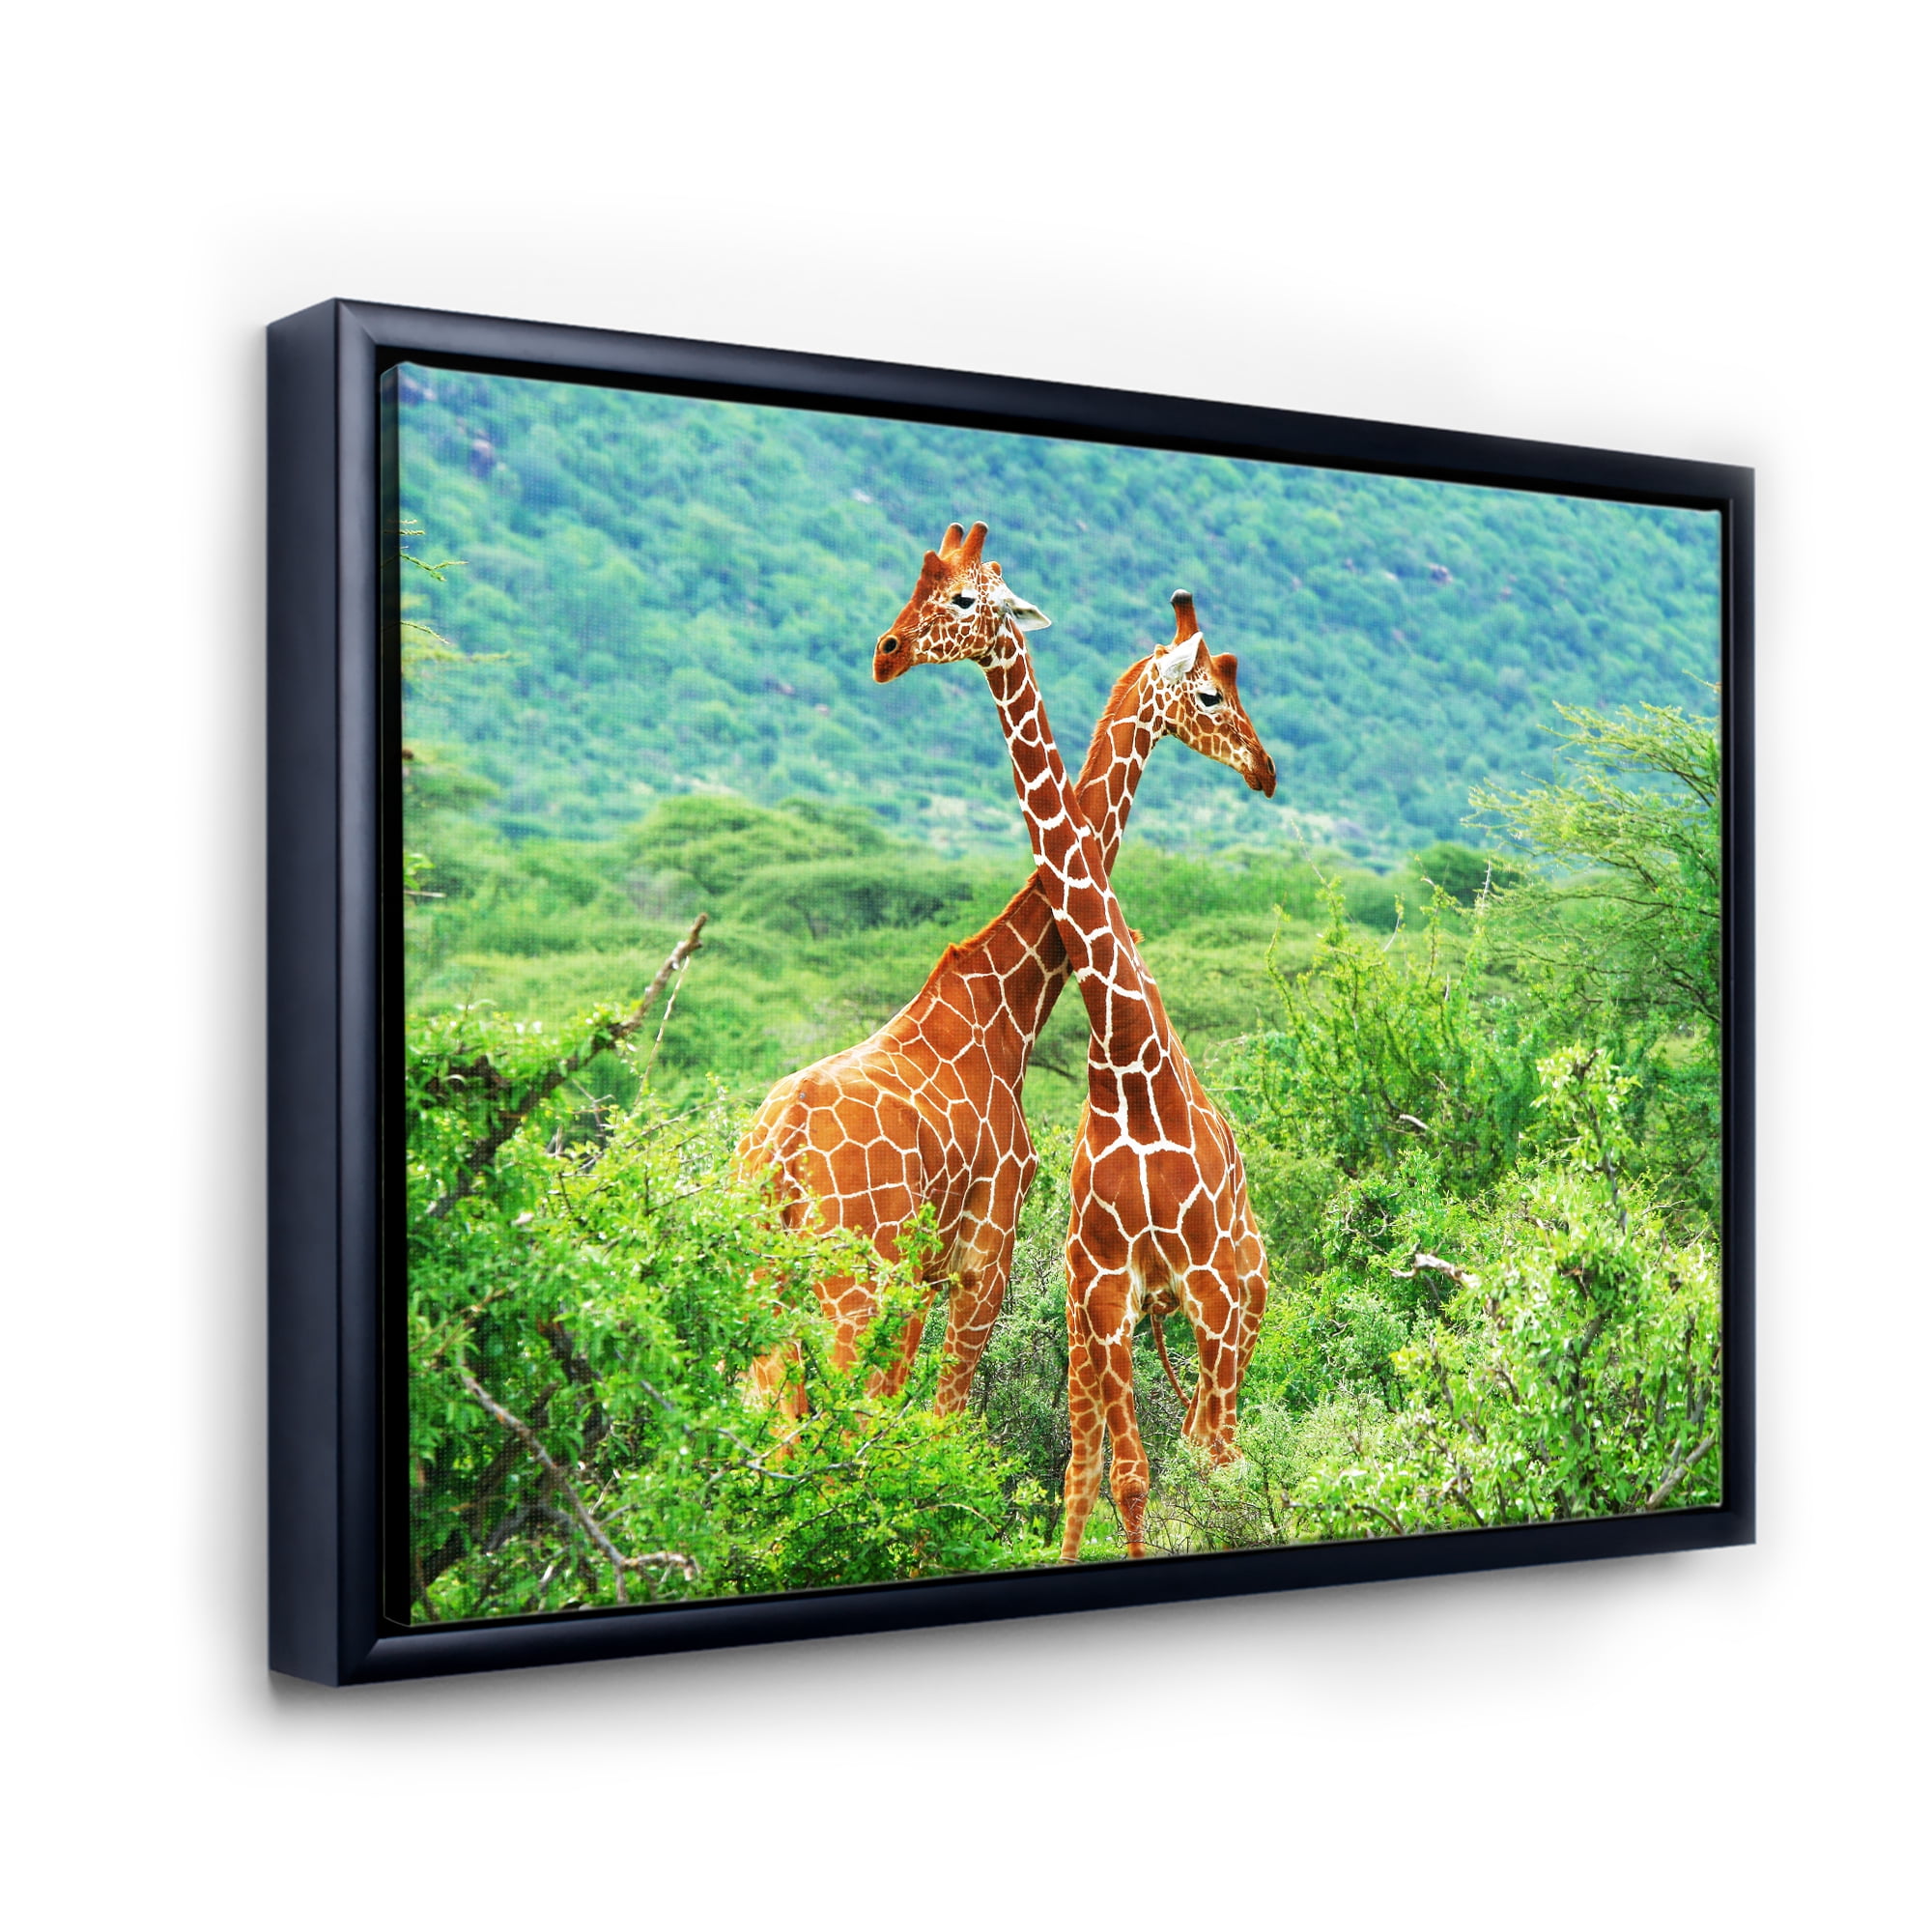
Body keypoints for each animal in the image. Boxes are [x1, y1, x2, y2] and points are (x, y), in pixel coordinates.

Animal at [738, 528, 1273, 1418]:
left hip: (766, 1274)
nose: (1264, 768)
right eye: (1210, 695)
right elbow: (940, 1418)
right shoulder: (987, 1250)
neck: (1009, 1002)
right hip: (851, 1279)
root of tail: (776, 1149)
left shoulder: (933, 1272)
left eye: (954, 595)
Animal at [874, 522, 1273, 1559]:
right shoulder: (1101, 1290)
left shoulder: (1199, 1290)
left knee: (1222, 1449)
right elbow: (1115, 1475)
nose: (1265, 770)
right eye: (1211, 692)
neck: (1127, 1064)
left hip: (1240, 1300)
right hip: (1107, 1319)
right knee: (1103, 1462)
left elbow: (1187, 1466)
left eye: (963, 598)